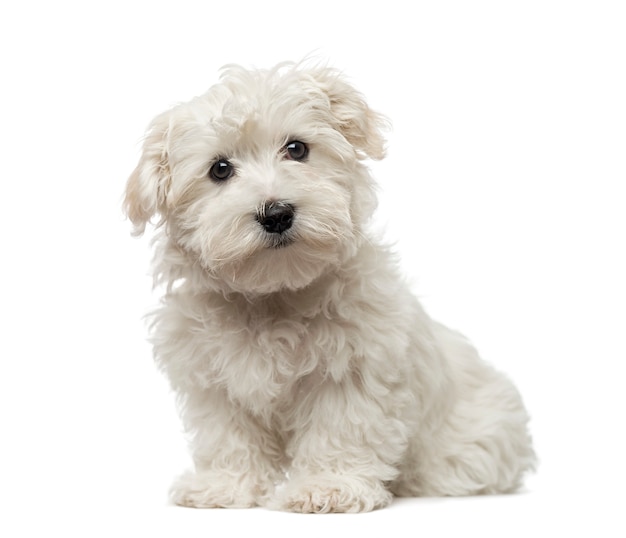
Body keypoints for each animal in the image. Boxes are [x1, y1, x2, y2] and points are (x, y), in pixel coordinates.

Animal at [124, 61, 532, 510]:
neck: (274, 294)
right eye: (220, 169)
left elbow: (340, 429)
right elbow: (228, 435)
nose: (276, 213)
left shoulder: (351, 369)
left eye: (297, 149)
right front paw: (225, 485)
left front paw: (329, 486)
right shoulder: (213, 379)